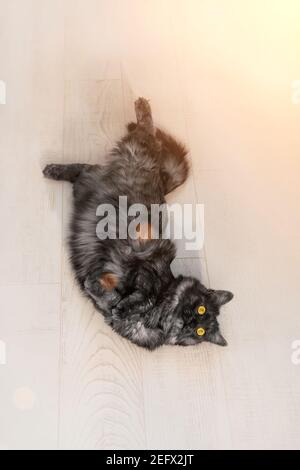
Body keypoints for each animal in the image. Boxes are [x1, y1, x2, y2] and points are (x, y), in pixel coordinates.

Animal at [43, 98, 233, 348]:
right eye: (201, 309)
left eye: (200, 331)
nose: (192, 321)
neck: (155, 314)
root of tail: (160, 180)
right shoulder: (146, 266)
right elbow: (139, 294)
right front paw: (123, 300)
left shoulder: (111, 311)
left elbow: (109, 298)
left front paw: (108, 296)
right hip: (136, 151)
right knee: (147, 131)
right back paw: (141, 106)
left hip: (87, 182)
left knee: (83, 169)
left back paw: (53, 170)